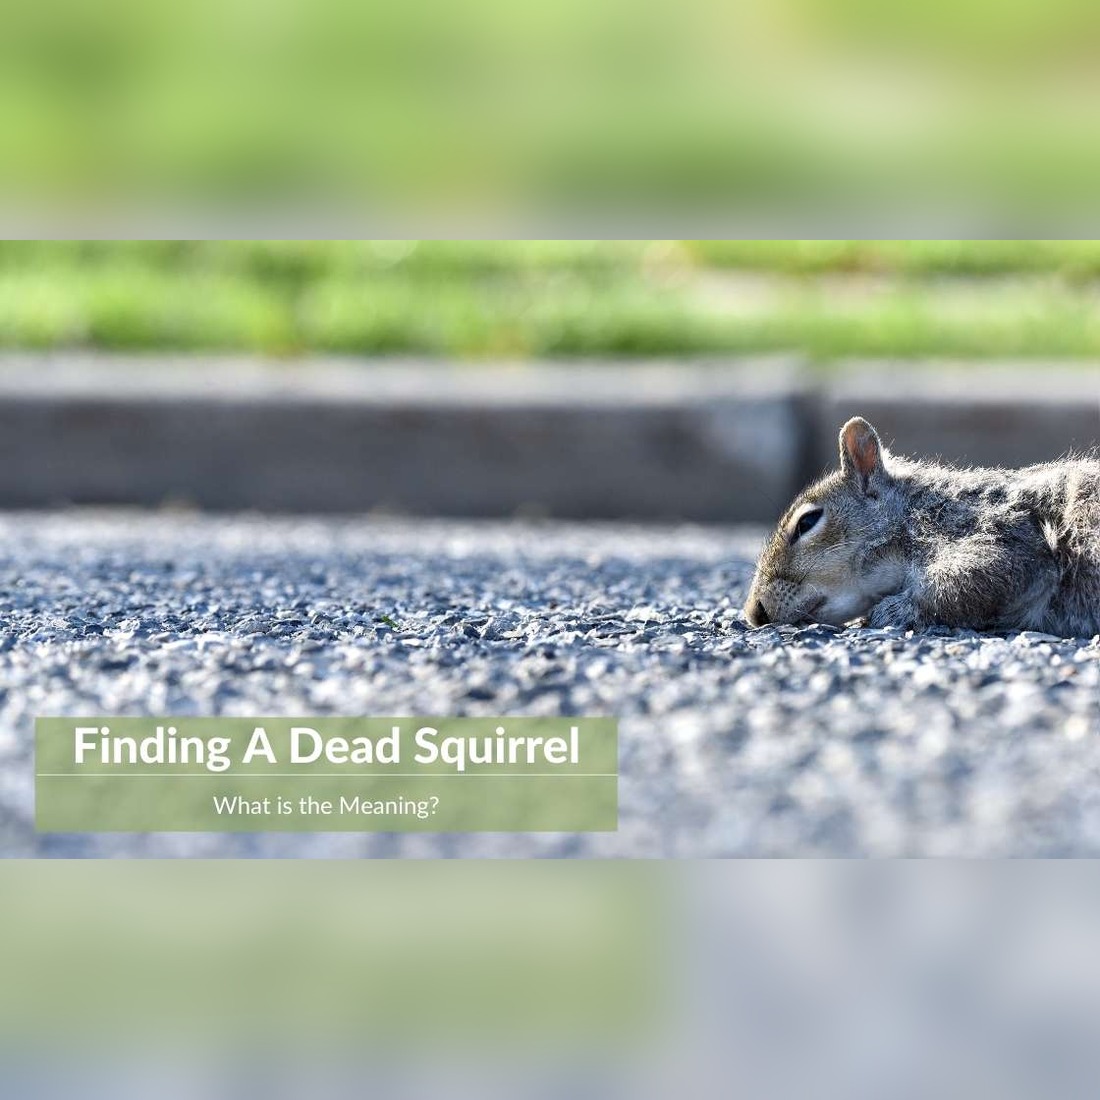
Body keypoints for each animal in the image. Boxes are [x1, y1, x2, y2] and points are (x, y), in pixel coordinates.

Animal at [744, 416, 1100, 636]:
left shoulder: (999, 531)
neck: (913, 511)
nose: (753, 613)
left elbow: (981, 575)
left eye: (807, 522)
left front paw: (889, 612)